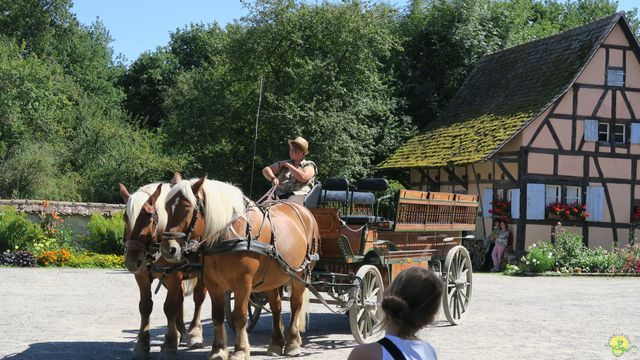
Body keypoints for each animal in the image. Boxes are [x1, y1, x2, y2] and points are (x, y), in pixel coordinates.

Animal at [120, 181, 208, 358]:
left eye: (150, 218)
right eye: (126, 217)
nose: (132, 261)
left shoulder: (174, 275)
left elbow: (169, 307)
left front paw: (169, 344)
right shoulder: (142, 275)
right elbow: (145, 306)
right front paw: (142, 343)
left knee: (198, 299)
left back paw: (194, 333)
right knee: (180, 299)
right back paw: (180, 331)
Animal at [161, 177, 318, 360]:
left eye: (186, 207)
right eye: (166, 207)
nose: (168, 249)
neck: (228, 235)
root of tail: (305, 212)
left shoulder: (243, 284)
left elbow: (240, 317)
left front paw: (240, 350)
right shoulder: (213, 284)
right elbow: (217, 316)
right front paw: (219, 350)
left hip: (301, 274)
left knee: (295, 305)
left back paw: (293, 343)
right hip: (272, 277)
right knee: (276, 306)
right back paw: (276, 343)